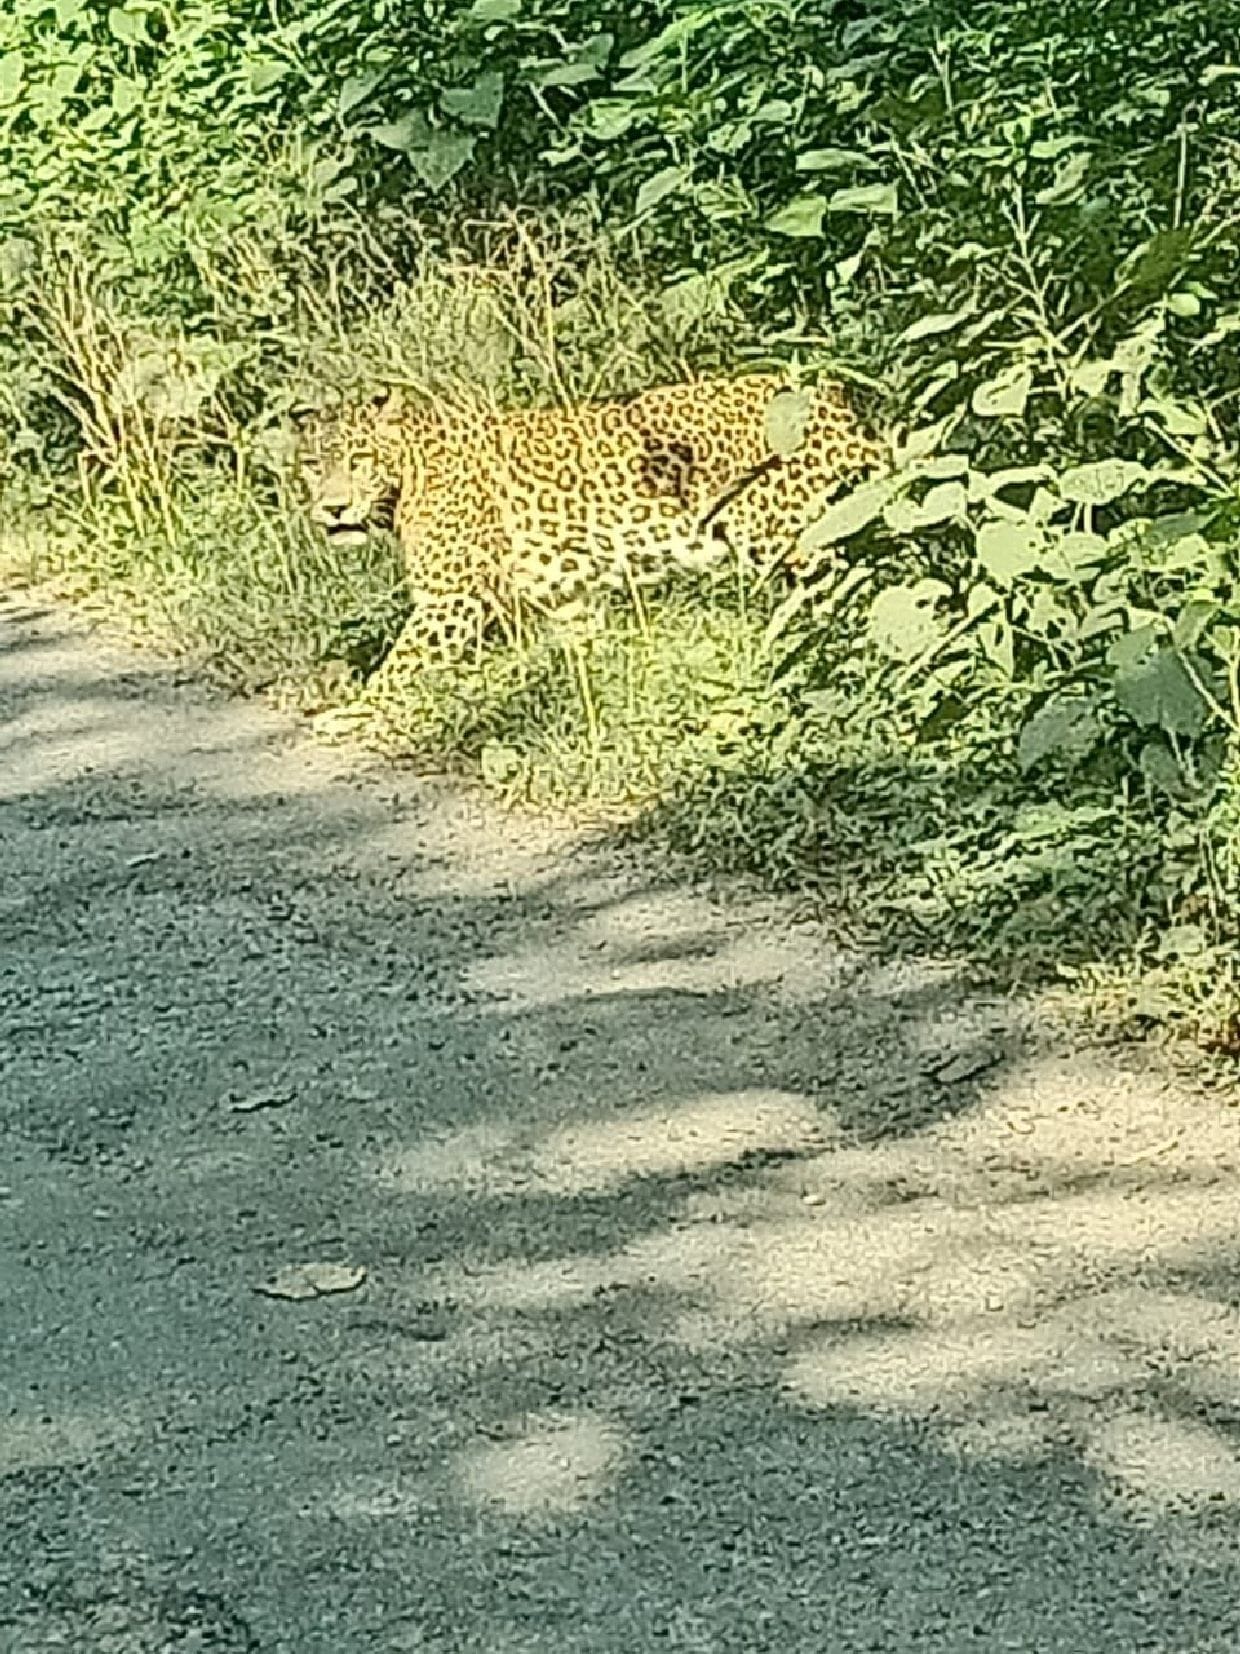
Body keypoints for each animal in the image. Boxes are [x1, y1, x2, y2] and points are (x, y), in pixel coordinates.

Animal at [297, 372, 885, 695]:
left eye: (359, 460)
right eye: (311, 465)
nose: (333, 507)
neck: (407, 479)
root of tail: (838, 405)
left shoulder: (450, 598)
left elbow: (399, 667)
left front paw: (352, 715)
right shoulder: (568, 594)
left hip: (788, 535)